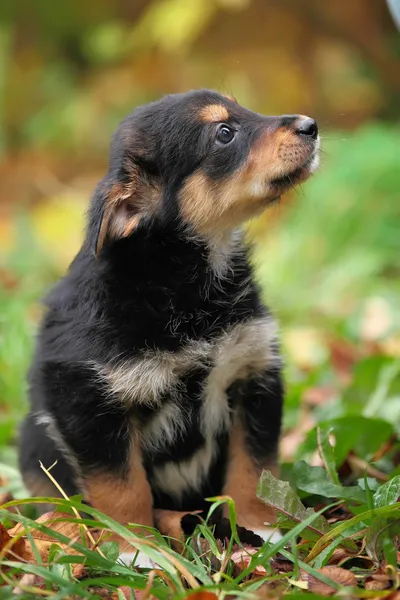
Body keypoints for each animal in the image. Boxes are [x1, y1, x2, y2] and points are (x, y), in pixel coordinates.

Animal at [18, 91, 320, 560]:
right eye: (224, 133)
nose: (311, 125)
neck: (182, 283)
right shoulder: (86, 398)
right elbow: (121, 484)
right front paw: (133, 547)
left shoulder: (253, 375)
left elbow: (254, 468)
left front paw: (260, 528)